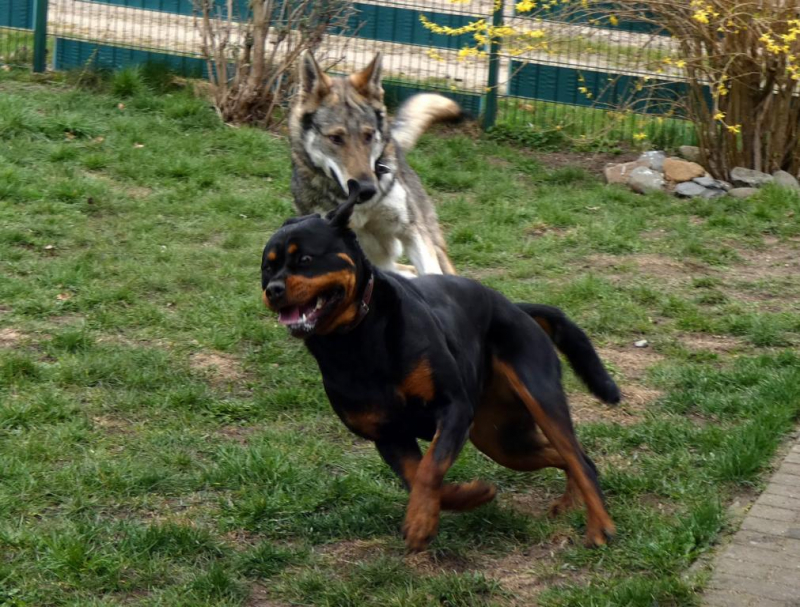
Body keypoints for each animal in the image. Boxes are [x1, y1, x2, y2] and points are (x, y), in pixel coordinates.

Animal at [261, 186, 620, 551]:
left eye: (305, 260)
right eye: (266, 268)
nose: (273, 290)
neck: (356, 339)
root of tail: (518, 308)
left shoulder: (453, 407)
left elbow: (430, 468)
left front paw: (421, 522)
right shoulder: (388, 434)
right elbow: (418, 477)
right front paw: (468, 496)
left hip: (539, 398)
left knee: (578, 459)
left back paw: (599, 527)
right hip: (501, 439)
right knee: (570, 457)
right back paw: (569, 503)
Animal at [289, 50, 460, 276]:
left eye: (368, 136)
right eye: (335, 138)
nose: (366, 190)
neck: (362, 207)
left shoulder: (412, 231)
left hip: (431, 241)